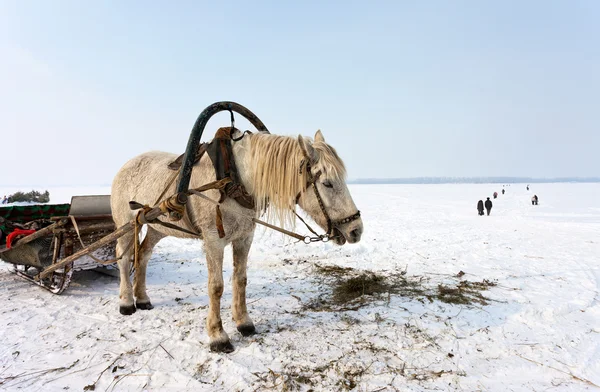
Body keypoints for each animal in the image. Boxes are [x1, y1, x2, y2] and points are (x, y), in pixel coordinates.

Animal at [110, 129, 364, 352]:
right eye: (327, 183)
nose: (356, 230)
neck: (234, 179)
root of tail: (126, 165)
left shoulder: (244, 237)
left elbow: (240, 280)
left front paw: (244, 322)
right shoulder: (213, 240)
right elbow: (216, 286)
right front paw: (218, 336)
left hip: (157, 226)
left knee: (143, 255)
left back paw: (142, 298)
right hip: (126, 223)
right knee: (124, 257)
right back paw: (127, 302)